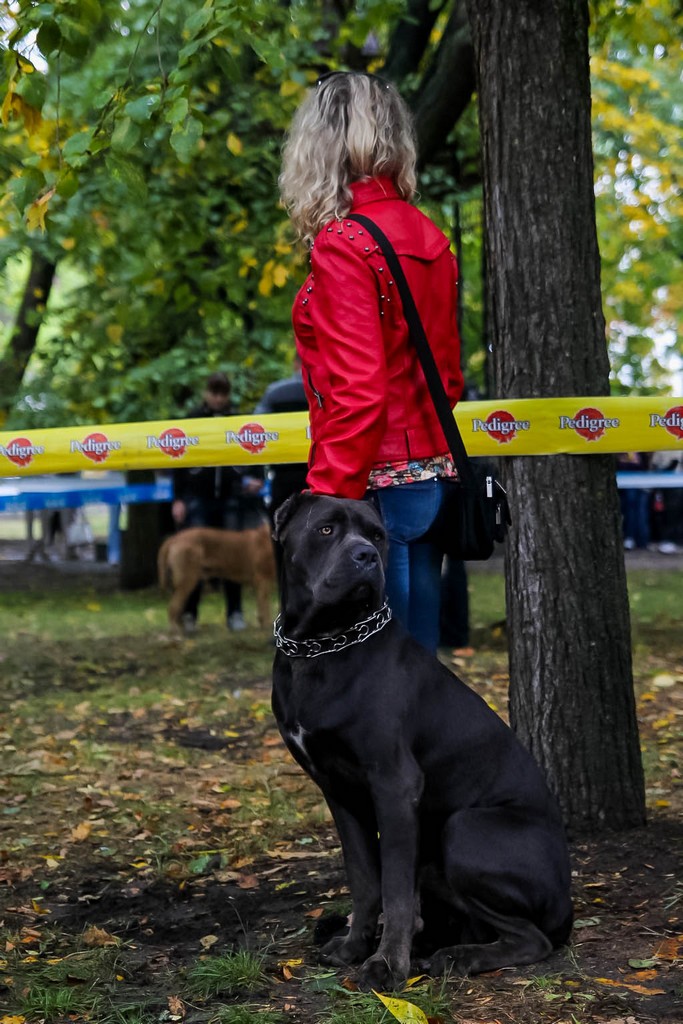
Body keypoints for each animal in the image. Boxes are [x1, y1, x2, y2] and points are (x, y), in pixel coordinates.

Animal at [270, 495, 573, 991]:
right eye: (327, 529)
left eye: (377, 535)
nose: (366, 557)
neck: (321, 643)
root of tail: (567, 905)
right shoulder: (339, 791)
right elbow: (365, 879)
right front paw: (353, 946)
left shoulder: (394, 784)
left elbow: (393, 888)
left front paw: (387, 965)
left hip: (465, 828)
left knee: (534, 938)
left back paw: (460, 957)